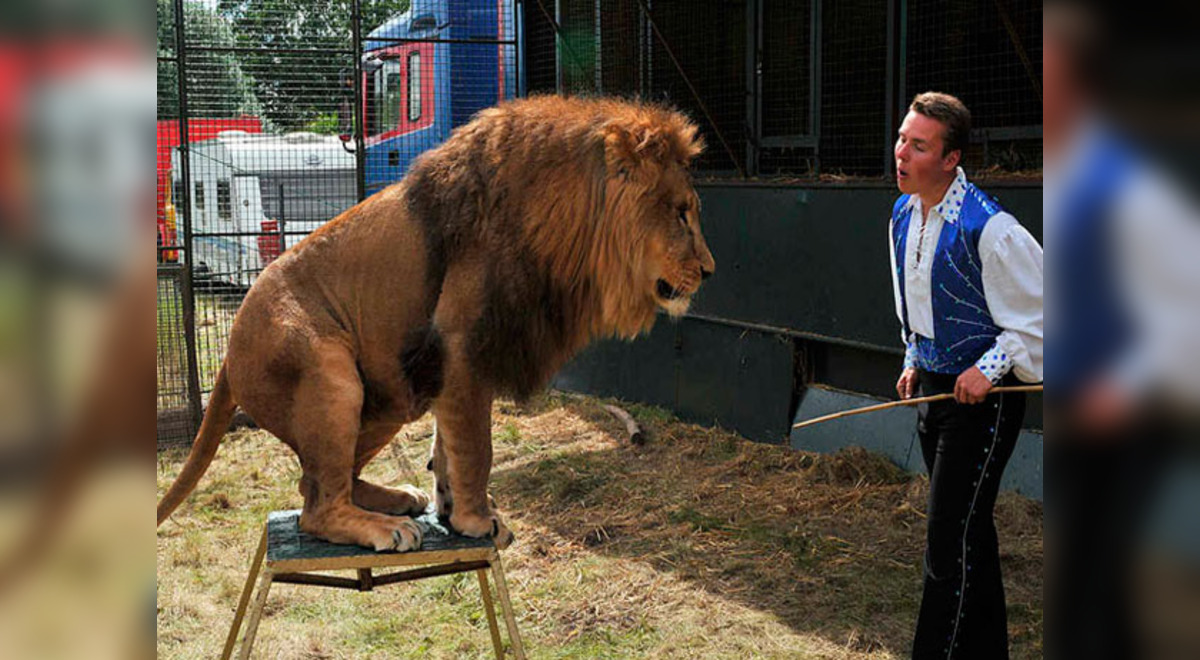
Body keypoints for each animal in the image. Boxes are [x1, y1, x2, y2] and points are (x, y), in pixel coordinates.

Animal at [151, 97, 710, 554]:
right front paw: (476, 519)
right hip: (331, 376)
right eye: (681, 213)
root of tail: (227, 354)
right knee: (316, 507)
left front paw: (452, 509)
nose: (709, 270)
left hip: (389, 395)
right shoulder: (463, 349)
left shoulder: (446, 363)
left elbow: (448, 447)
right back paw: (386, 527)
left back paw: (398, 497)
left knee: (315, 483)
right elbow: (476, 448)